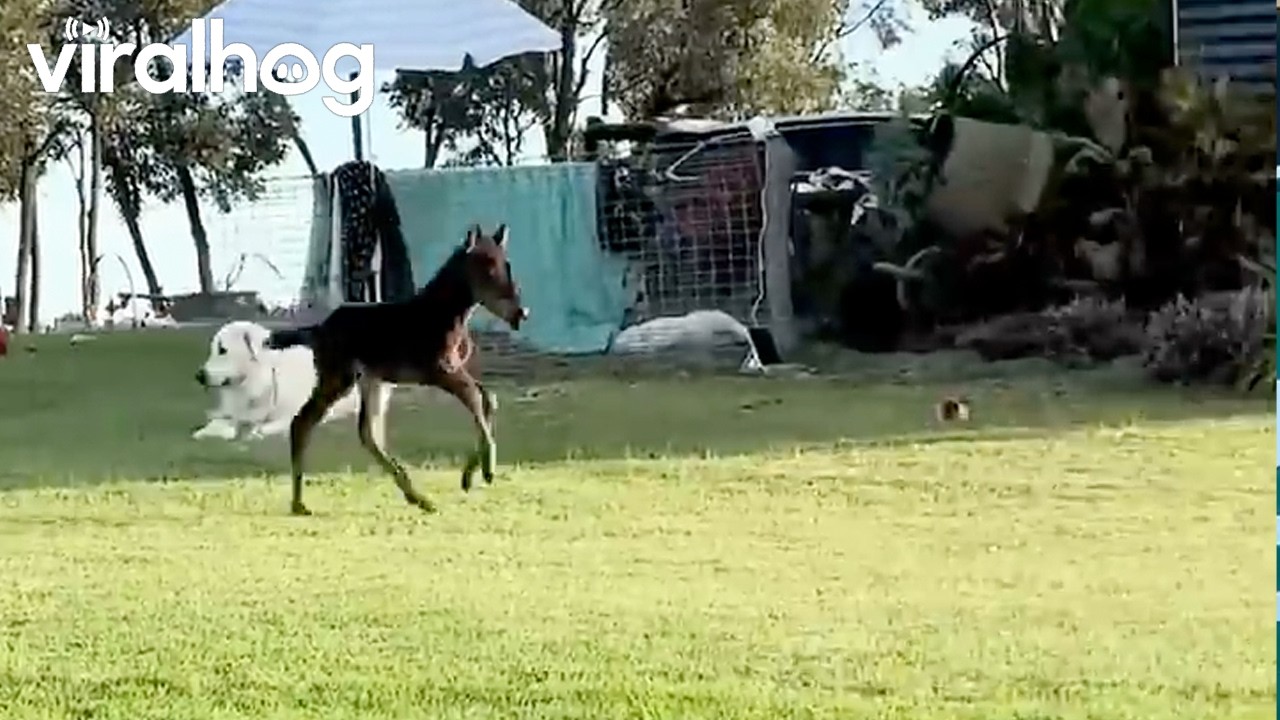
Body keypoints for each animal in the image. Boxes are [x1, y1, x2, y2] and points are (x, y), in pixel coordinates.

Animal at [266, 223, 528, 516]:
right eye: (487, 268)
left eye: (506, 264)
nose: (521, 313)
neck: (442, 314)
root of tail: (319, 330)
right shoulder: (438, 370)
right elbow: (475, 397)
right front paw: (486, 471)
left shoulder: (453, 368)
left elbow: (487, 398)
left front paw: (469, 476)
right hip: (339, 378)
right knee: (303, 422)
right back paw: (299, 503)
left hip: (371, 380)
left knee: (367, 433)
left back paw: (417, 498)